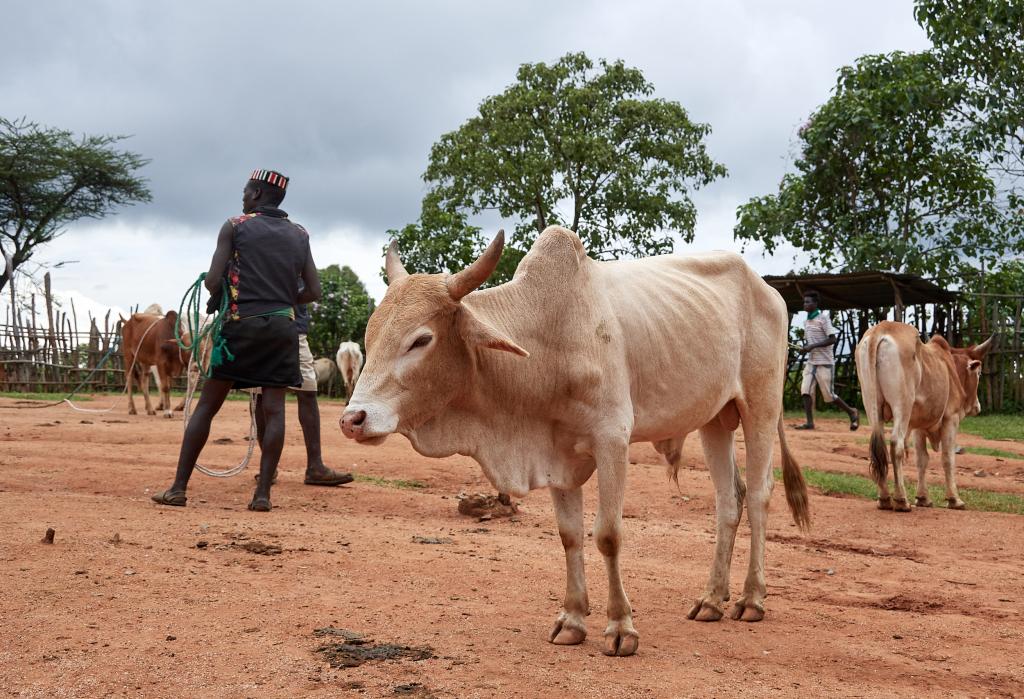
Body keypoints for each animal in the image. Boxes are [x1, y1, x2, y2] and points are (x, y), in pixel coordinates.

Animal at [339, 227, 811, 659]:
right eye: (369, 336)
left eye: (421, 339)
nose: (352, 419)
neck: (549, 343)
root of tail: (768, 289)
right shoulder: (556, 456)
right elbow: (570, 536)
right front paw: (572, 620)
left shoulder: (613, 439)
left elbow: (608, 535)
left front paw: (621, 627)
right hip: (714, 419)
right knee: (729, 501)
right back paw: (712, 600)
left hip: (761, 406)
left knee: (759, 497)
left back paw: (751, 599)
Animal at [856, 319, 991, 511]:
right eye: (978, 373)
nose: (977, 406)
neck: (949, 367)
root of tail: (880, 330)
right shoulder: (951, 418)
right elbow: (948, 458)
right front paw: (954, 499)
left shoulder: (917, 426)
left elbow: (922, 459)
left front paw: (922, 498)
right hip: (903, 405)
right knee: (896, 445)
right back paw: (901, 500)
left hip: (871, 406)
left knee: (877, 447)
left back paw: (884, 499)